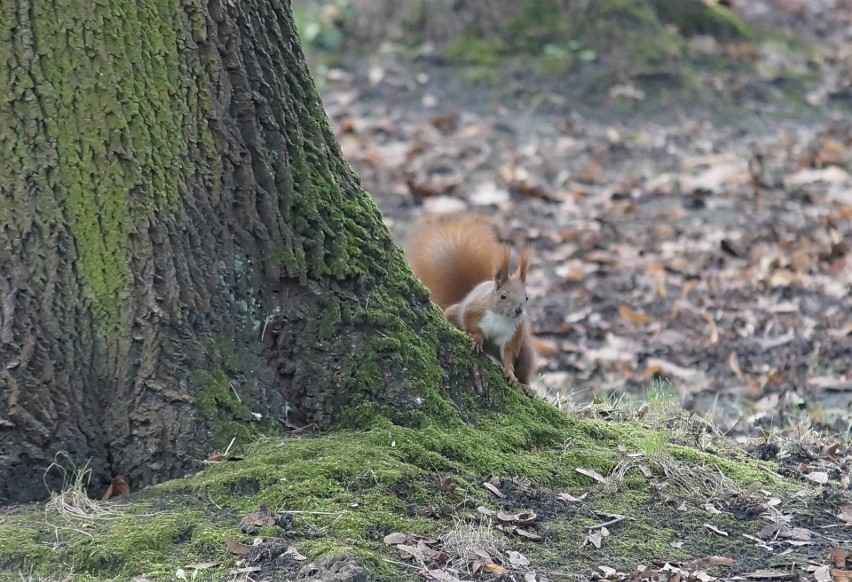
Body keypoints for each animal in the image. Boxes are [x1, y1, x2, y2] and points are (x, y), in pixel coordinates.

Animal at [410, 212, 536, 394]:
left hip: (525, 349)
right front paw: (476, 340)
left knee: (524, 368)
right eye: (503, 296)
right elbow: (470, 322)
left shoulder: (514, 333)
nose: (519, 310)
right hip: (453, 312)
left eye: (526, 297)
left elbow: (508, 356)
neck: (501, 318)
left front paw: (511, 375)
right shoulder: (475, 310)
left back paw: (526, 387)